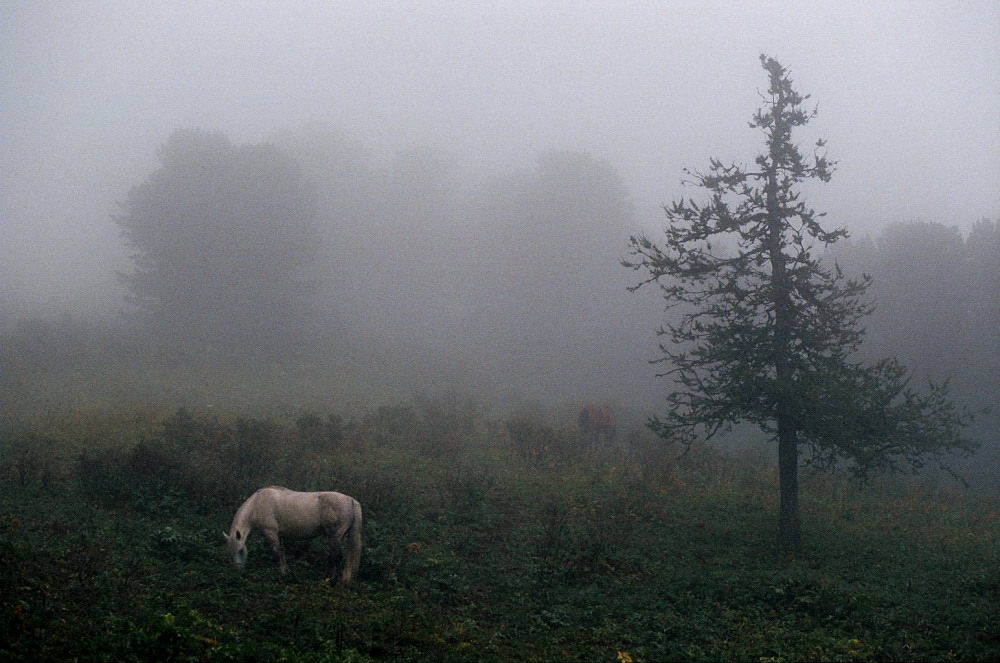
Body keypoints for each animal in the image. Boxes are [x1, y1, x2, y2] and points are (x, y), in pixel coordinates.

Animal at [224, 486, 364, 584]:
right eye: (230, 552)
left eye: (241, 551)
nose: (238, 572)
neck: (257, 504)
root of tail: (351, 500)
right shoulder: (279, 535)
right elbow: (282, 552)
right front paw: (286, 571)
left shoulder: (271, 533)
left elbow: (277, 553)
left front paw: (282, 573)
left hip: (335, 536)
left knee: (336, 556)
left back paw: (330, 579)